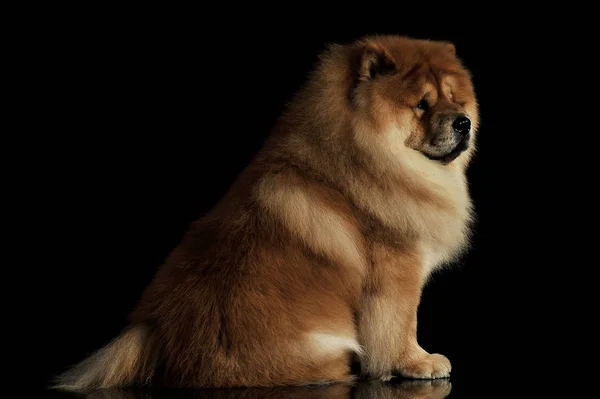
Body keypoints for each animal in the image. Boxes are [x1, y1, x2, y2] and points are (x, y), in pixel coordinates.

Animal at [54, 32, 480, 392]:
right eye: (421, 105)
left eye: (455, 99)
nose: (463, 122)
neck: (367, 157)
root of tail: (156, 333)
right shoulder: (396, 268)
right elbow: (400, 323)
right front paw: (418, 362)